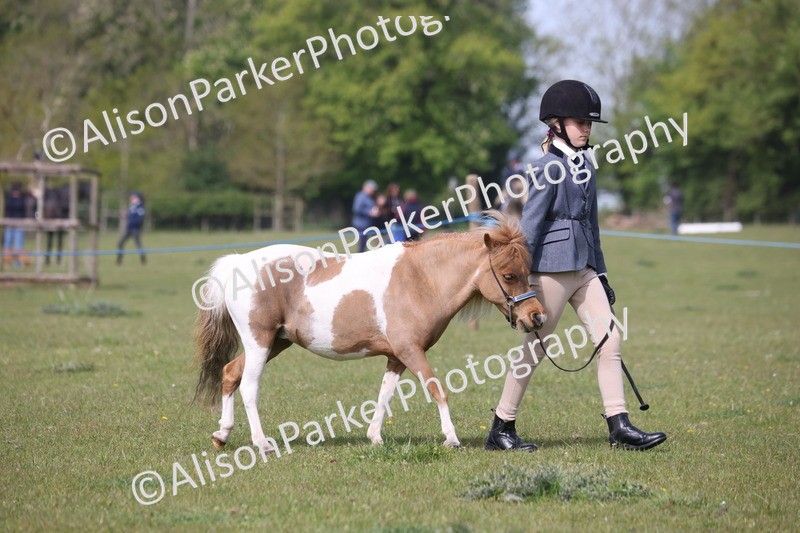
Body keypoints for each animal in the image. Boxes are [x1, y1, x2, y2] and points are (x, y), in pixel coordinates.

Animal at [193, 211, 546, 453]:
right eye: (509, 275)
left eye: (527, 271)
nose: (537, 316)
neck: (420, 279)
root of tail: (237, 265)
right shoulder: (411, 351)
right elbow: (437, 389)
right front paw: (452, 438)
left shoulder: (397, 357)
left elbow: (384, 395)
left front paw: (375, 437)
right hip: (260, 342)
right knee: (249, 388)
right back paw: (262, 443)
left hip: (275, 343)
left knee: (229, 373)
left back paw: (222, 435)